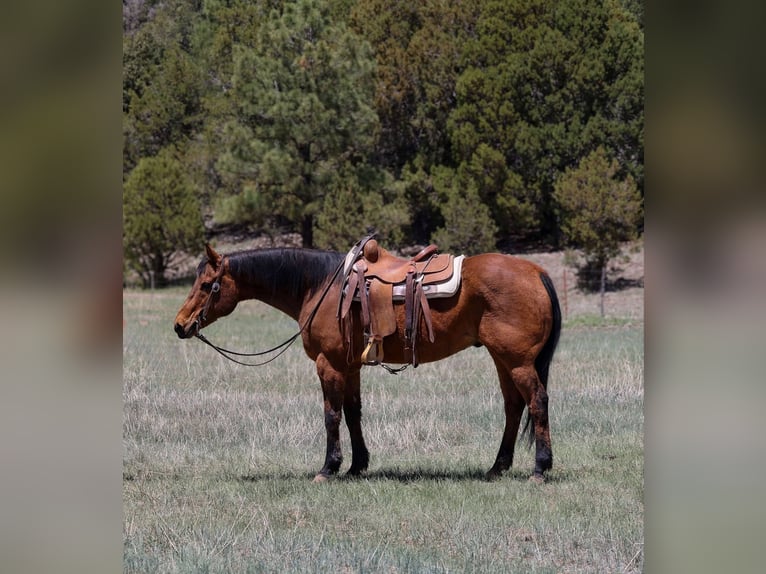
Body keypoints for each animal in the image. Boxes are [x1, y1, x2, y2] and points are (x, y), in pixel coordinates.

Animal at [174, 242, 561, 483]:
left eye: (207, 285)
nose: (179, 325)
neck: (321, 287)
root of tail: (536, 271)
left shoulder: (328, 364)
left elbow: (331, 415)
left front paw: (328, 468)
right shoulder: (349, 366)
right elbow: (353, 413)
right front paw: (357, 465)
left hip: (517, 361)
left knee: (537, 402)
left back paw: (540, 468)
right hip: (502, 359)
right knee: (513, 407)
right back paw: (497, 467)